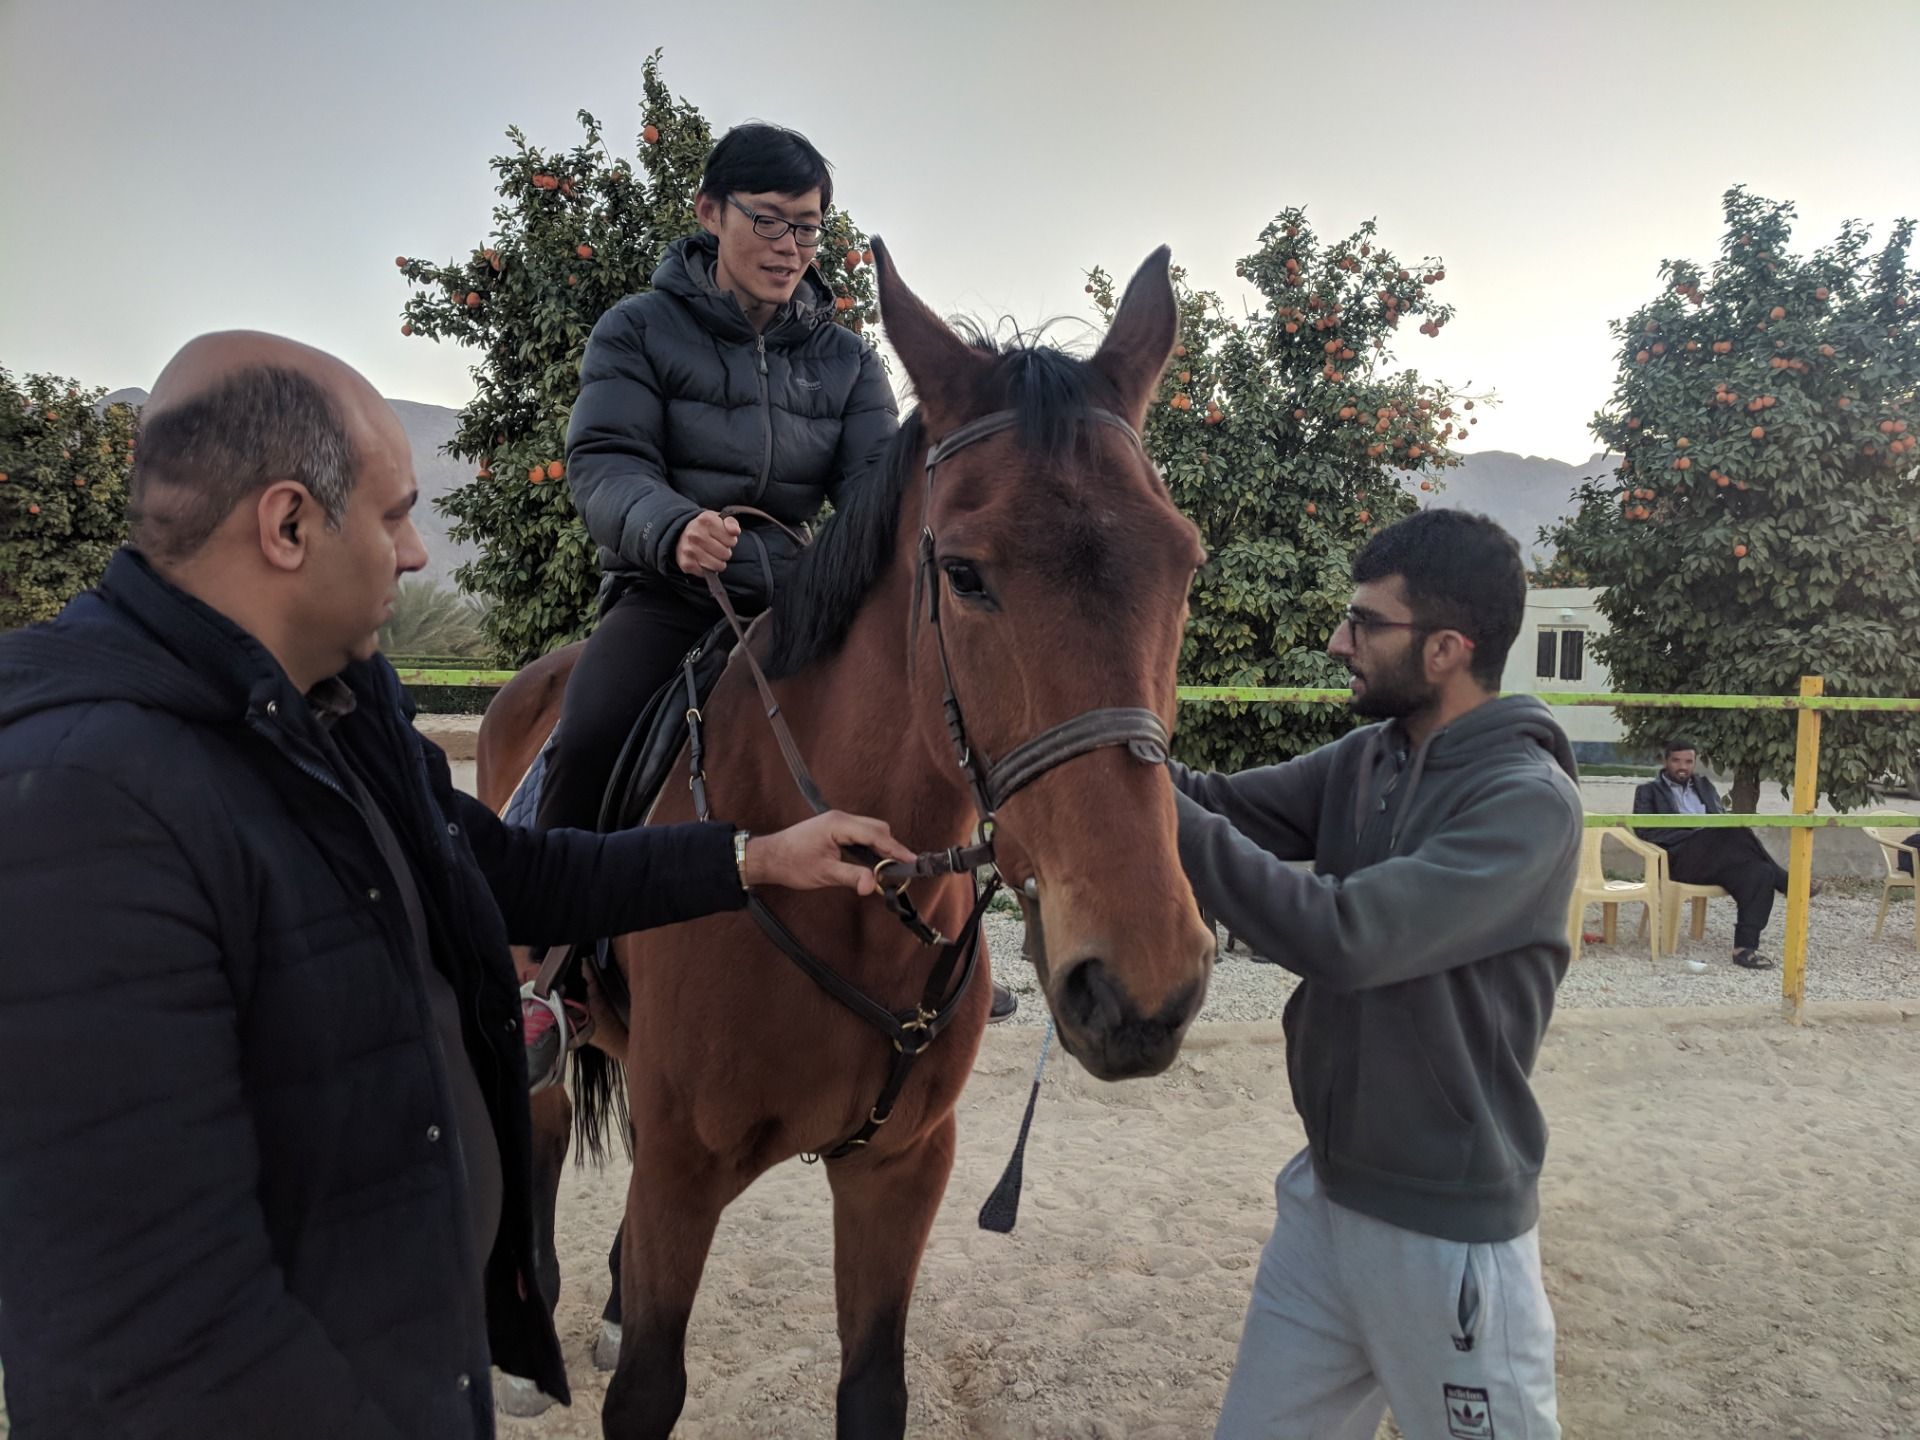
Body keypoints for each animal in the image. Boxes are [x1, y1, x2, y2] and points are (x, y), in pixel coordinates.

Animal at [476, 238, 1215, 1438]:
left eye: (1184, 562)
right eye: (963, 573)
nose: (1140, 984)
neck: (848, 889)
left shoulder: (898, 1170)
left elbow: (873, 1386)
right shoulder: (685, 1169)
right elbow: (648, 1392)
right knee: (538, 1129)